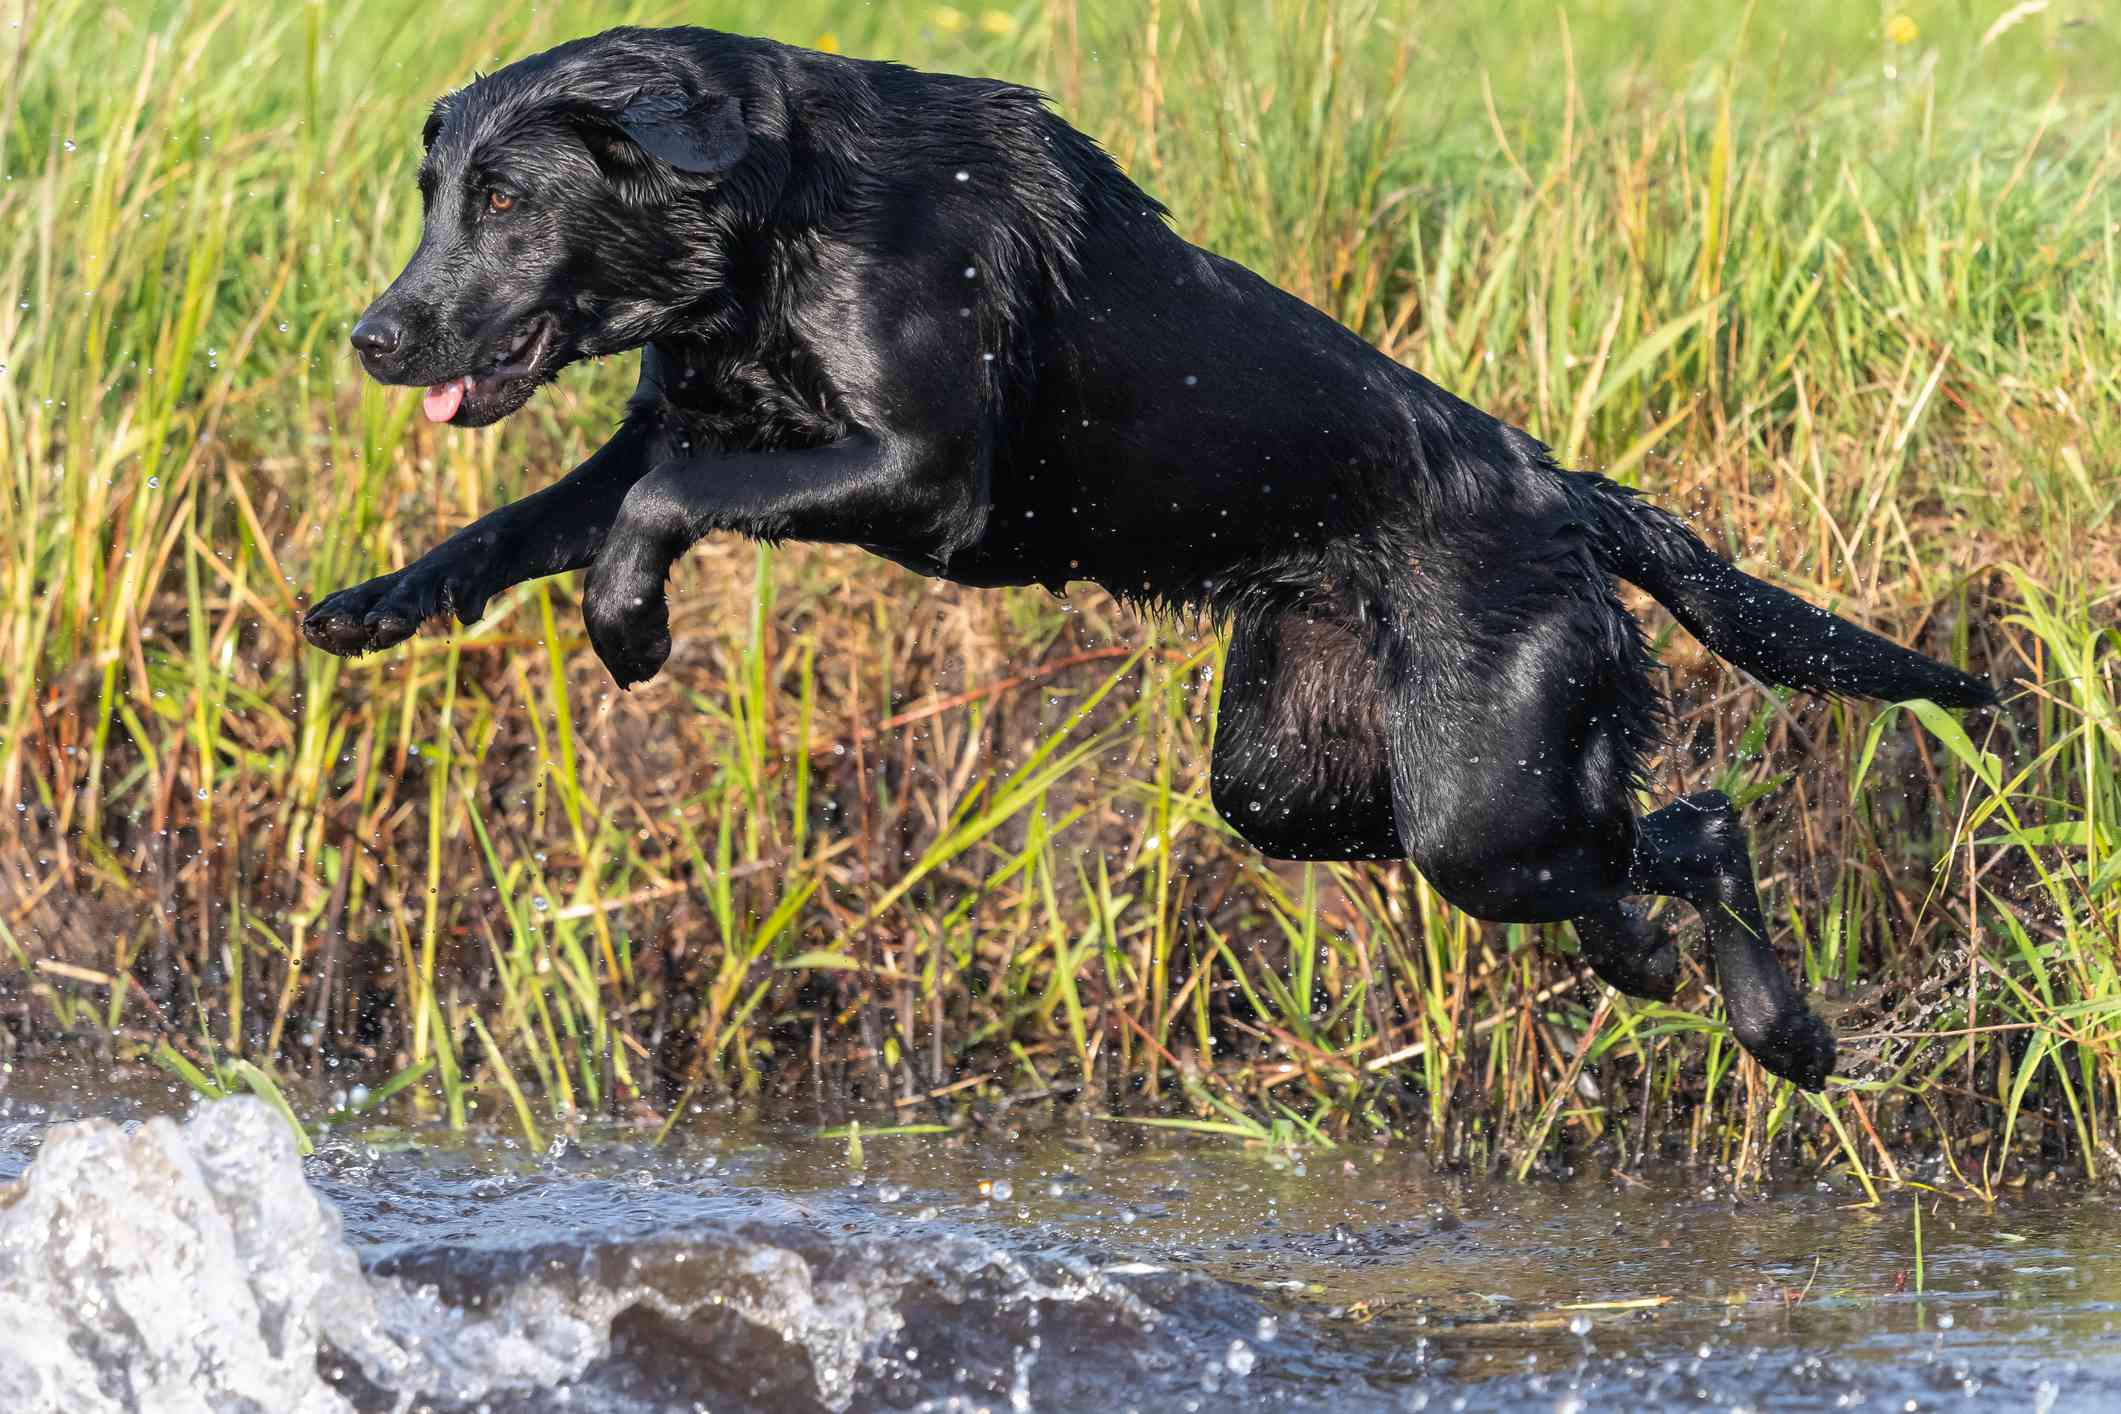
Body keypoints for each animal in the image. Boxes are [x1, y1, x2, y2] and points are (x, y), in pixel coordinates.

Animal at [307, 27, 1993, 1093]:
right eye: (432, 196)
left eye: (507, 199)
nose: (370, 337)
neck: (778, 219)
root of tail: (1569, 494)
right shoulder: (671, 421)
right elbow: (521, 521)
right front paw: (369, 608)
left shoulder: (920, 477)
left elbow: (659, 505)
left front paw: (630, 629)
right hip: (1296, 777)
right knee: (1625, 847)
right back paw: (1654, 967)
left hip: (1472, 798)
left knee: (1697, 824)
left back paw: (1780, 1026)